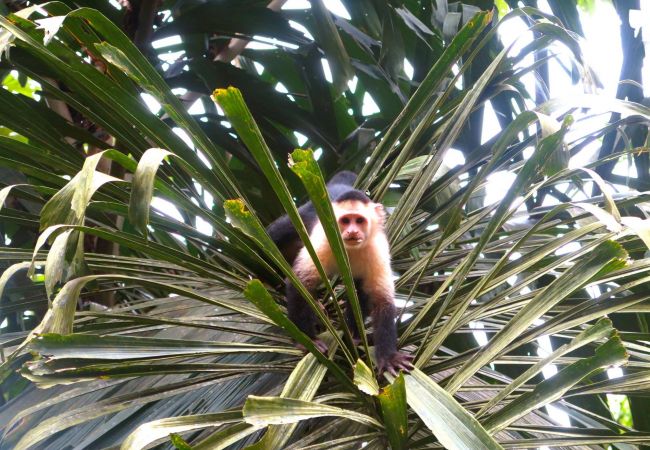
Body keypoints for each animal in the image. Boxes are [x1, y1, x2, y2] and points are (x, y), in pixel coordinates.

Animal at [266, 172, 412, 376]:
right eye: (345, 221)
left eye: (359, 221)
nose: (352, 231)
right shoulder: (324, 240)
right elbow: (301, 282)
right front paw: (306, 340)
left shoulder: (378, 249)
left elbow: (381, 301)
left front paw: (388, 357)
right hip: (305, 212)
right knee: (278, 232)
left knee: (360, 290)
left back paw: (354, 334)